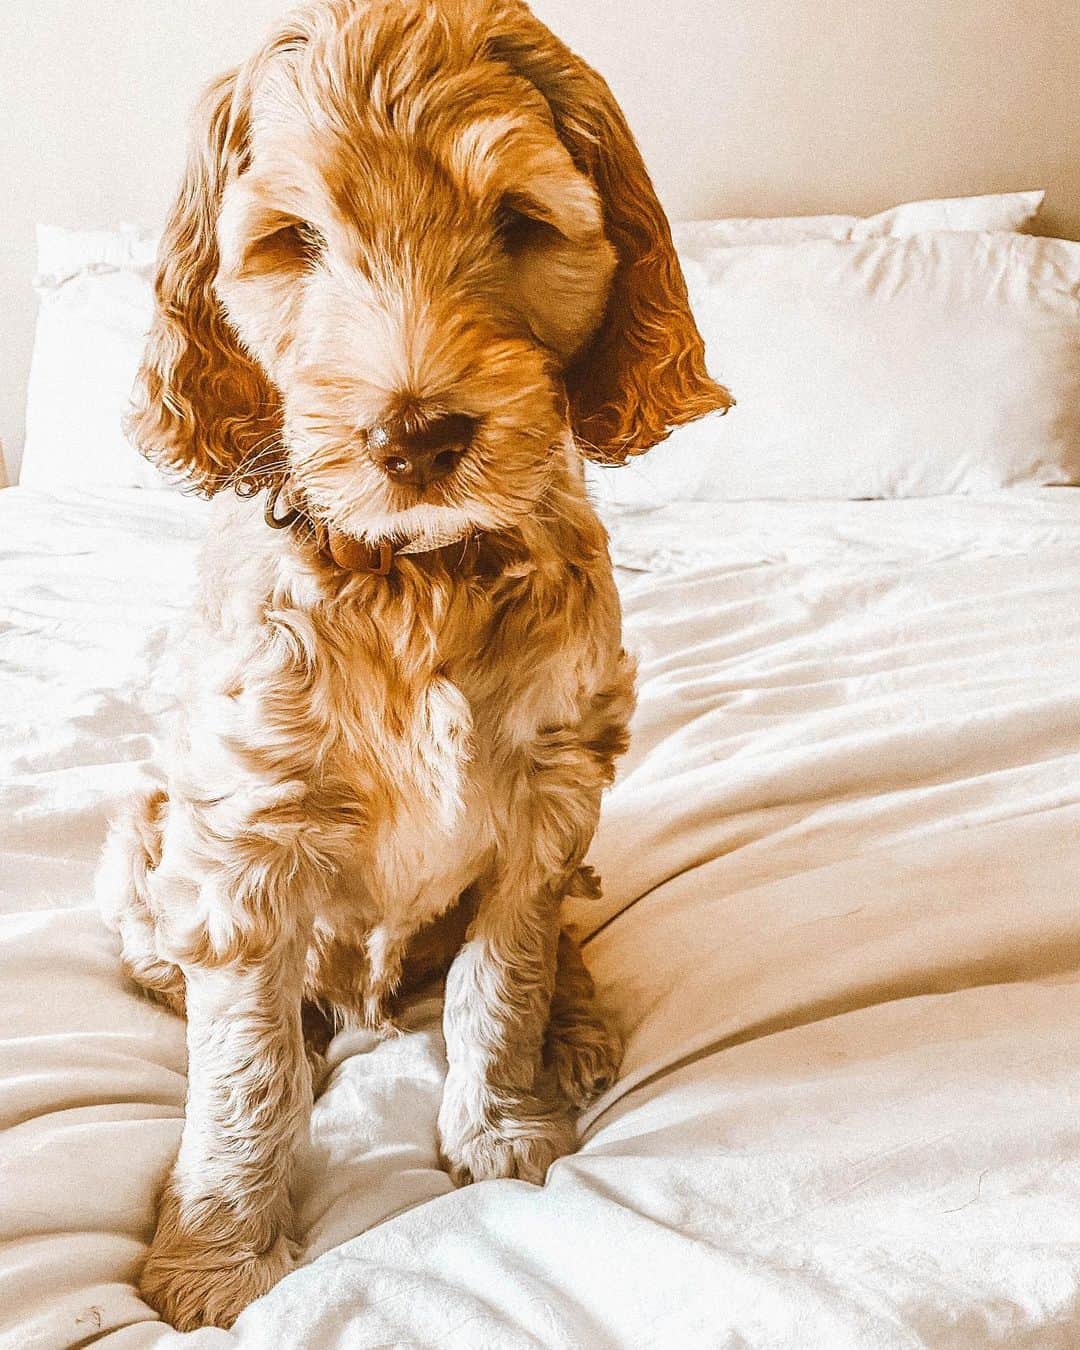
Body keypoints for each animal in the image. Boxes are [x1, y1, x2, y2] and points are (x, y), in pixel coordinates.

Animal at [97, 0, 729, 1328]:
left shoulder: (553, 789)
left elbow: (508, 968)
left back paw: (576, 1025)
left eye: (522, 222)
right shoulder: (243, 828)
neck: (417, 572)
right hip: (141, 835)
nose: (416, 436)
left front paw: (500, 1122)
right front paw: (219, 1249)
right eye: (291, 242)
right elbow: (242, 1066)